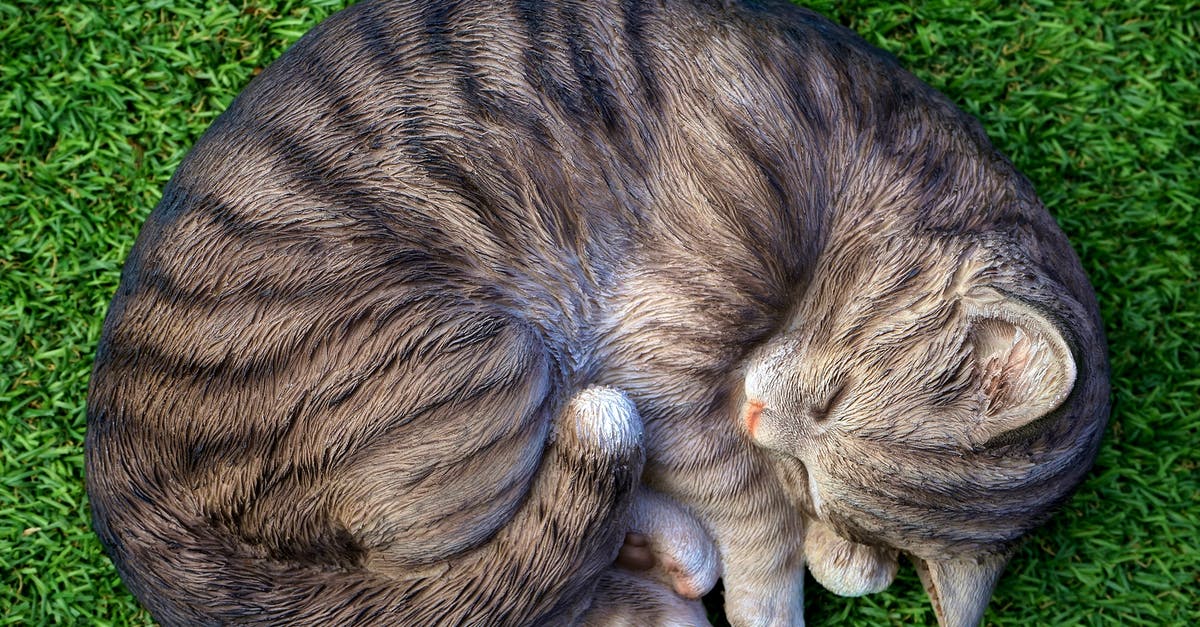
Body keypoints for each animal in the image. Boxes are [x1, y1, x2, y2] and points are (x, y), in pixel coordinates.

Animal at [88, 1, 1108, 624]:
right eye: (832, 399)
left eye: (824, 470)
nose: (758, 417)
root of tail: (136, 511)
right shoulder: (659, 348)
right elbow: (747, 501)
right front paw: (777, 584)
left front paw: (844, 550)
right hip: (491, 362)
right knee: (485, 581)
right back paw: (675, 570)